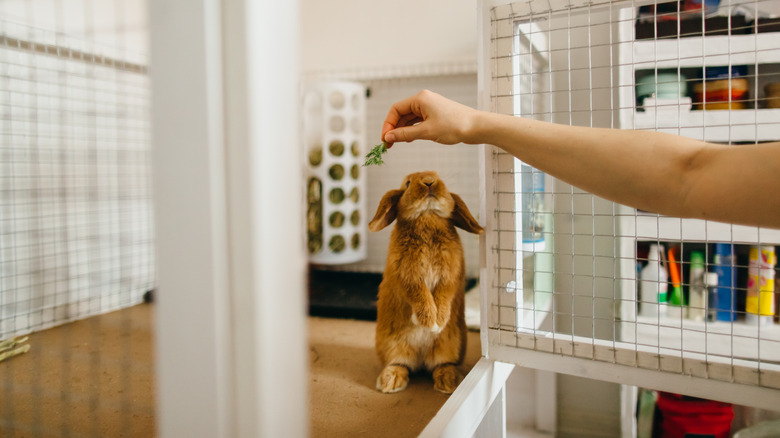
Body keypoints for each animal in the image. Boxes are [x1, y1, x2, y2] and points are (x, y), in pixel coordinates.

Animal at [370, 170, 484, 394]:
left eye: (441, 178)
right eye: (407, 184)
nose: (429, 182)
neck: (427, 215)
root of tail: (421, 359)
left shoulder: (451, 274)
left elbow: (444, 293)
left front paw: (438, 320)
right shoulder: (407, 275)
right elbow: (419, 294)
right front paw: (429, 321)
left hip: (451, 344)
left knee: (441, 364)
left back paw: (448, 382)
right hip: (392, 345)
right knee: (400, 364)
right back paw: (390, 382)